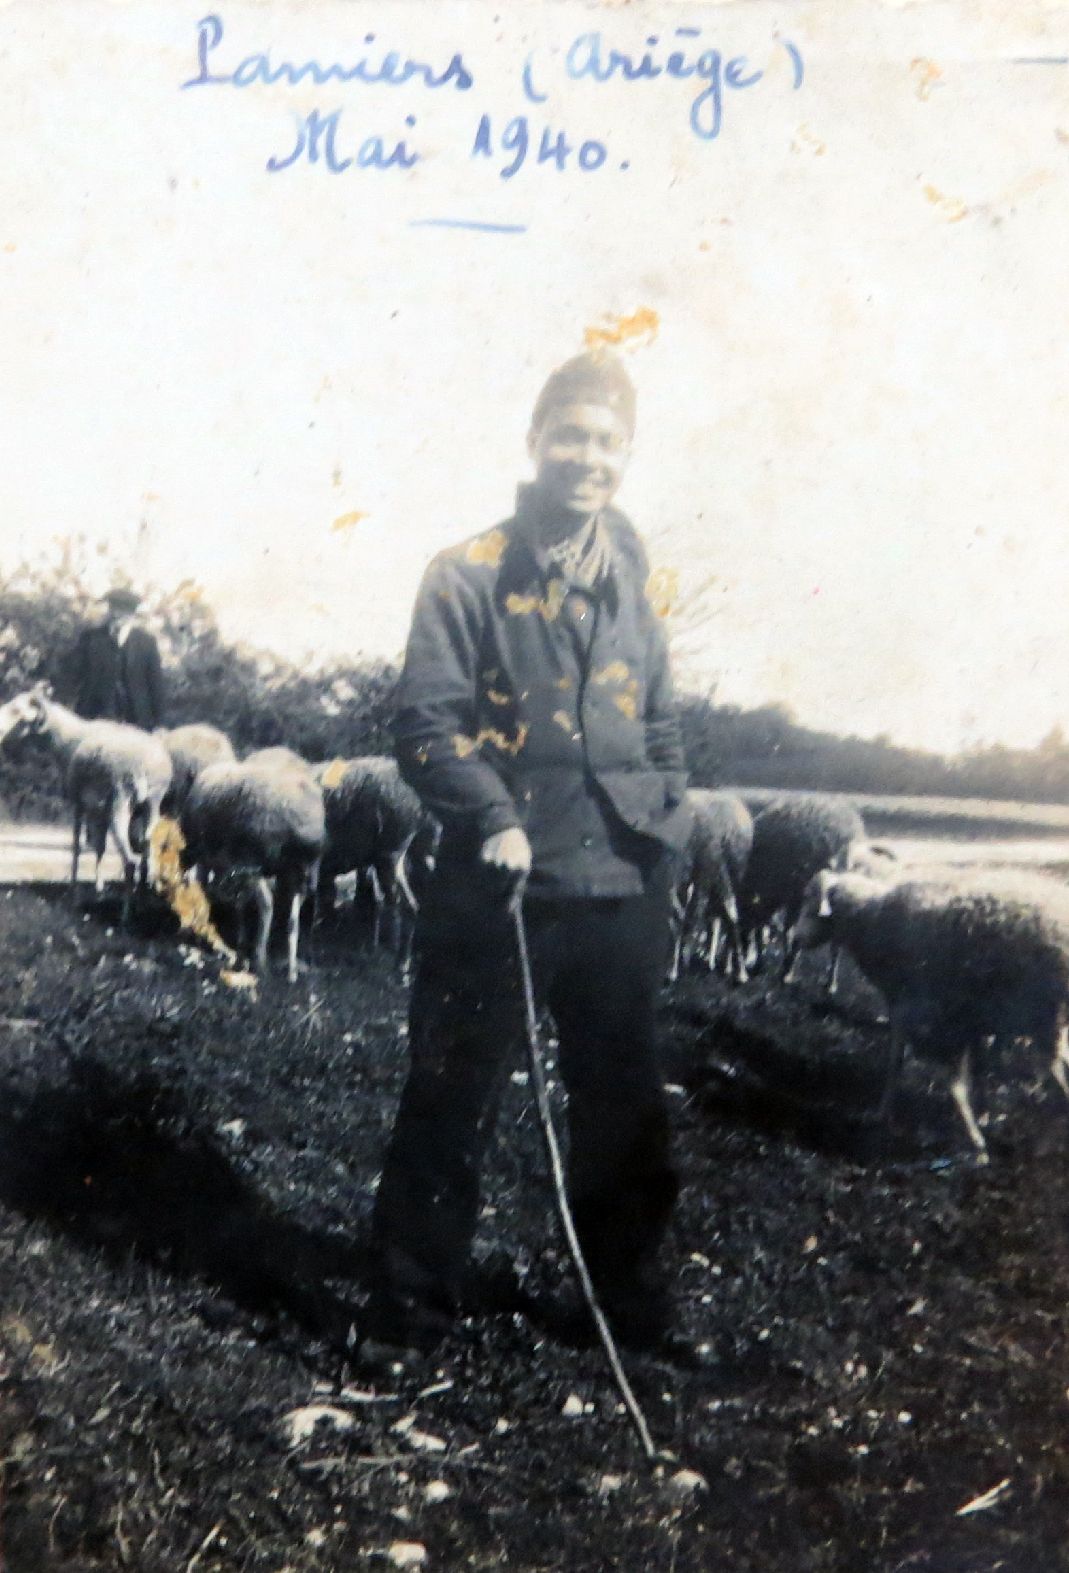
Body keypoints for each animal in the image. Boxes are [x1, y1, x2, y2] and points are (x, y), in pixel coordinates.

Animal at [0, 685, 172, 920]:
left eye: (17, 711)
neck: (66, 739)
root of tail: (146, 765)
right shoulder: (98, 809)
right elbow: (99, 847)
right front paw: (98, 890)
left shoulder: (79, 804)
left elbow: (77, 847)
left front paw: (75, 896)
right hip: (152, 802)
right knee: (146, 852)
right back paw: (141, 905)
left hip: (120, 801)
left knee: (130, 861)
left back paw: (126, 916)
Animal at [180, 752, 325, 982]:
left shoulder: (239, 864)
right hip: (301, 872)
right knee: (292, 918)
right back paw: (291, 971)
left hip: (258, 863)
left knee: (266, 903)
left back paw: (260, 959)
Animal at [739, 794, 865, 982]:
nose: (745, 959)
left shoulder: (789, 895)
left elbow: (781, 930)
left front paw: (776, 965)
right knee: (835, 941)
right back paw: (830, 981)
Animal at [794, 867, 1069, 1160]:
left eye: (811, 900)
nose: (796, 939)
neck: (872, 917)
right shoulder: (959, 1021)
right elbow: (970, 1071)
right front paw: (982, 1117)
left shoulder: (919, 1012)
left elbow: (922, 1073)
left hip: (1044, 1015)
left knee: (1056, 1073)